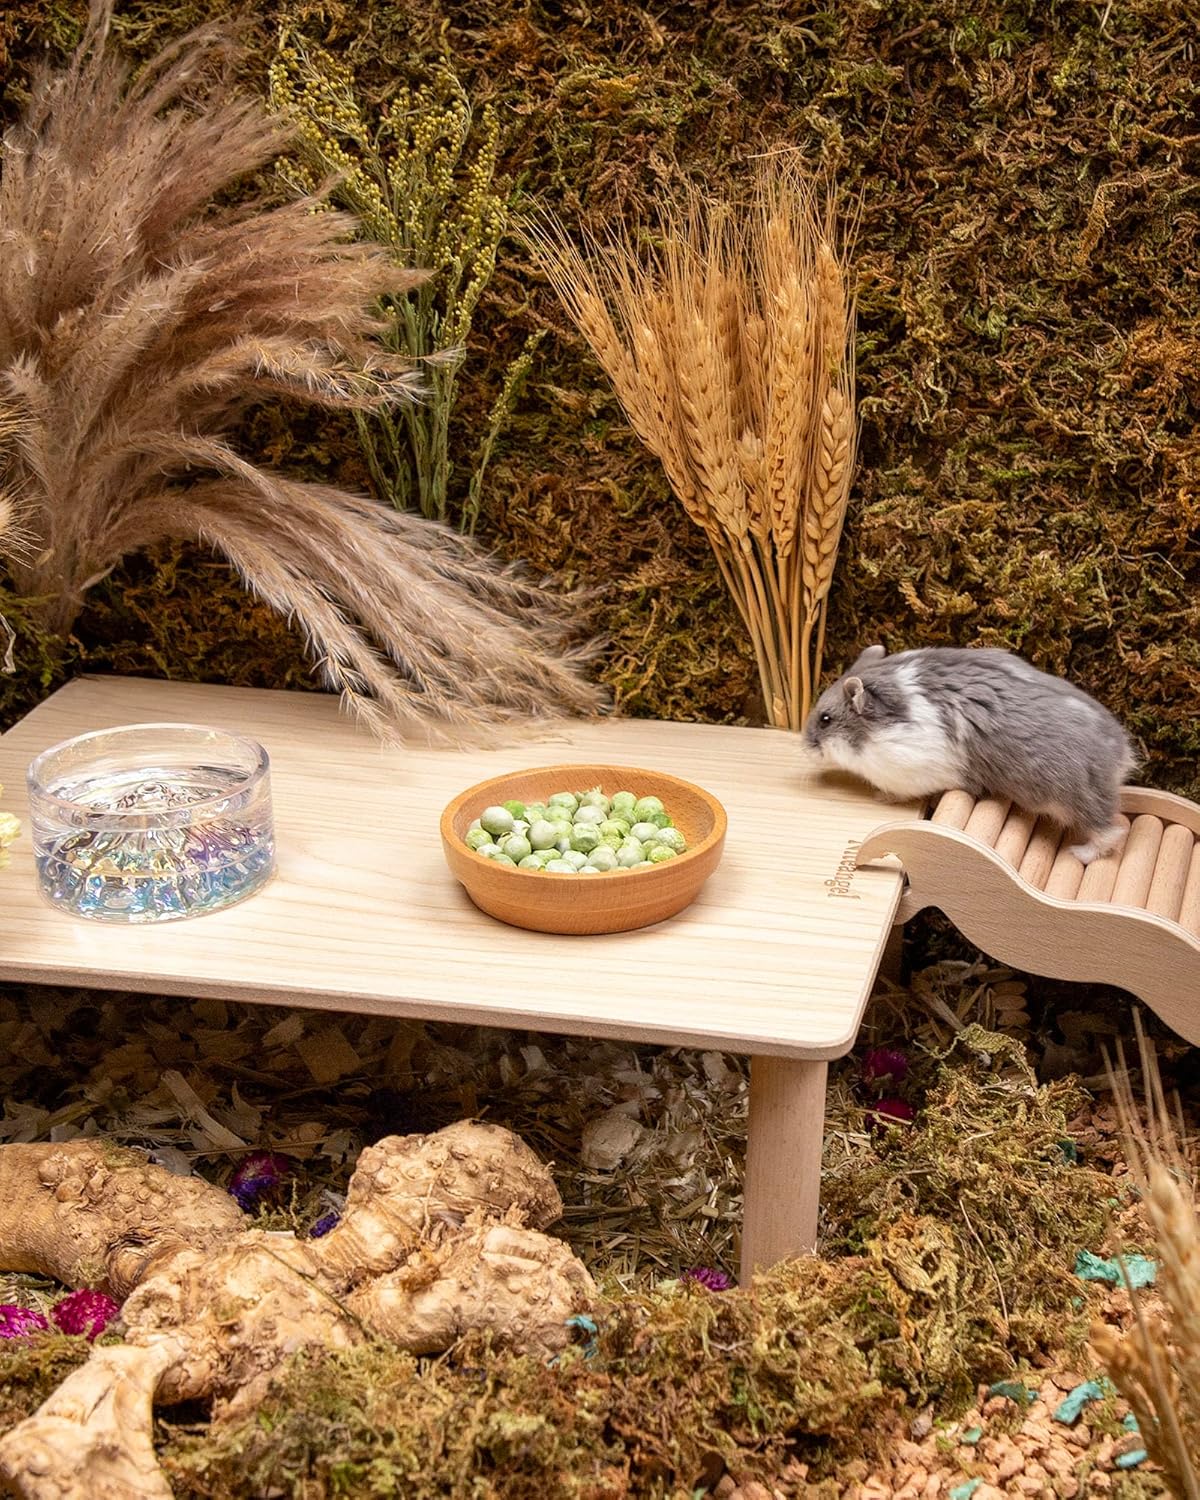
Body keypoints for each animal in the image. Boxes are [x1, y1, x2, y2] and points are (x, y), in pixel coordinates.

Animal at [803, 644, 1137, 864]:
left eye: (825, 719)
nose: (805, 746)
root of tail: (1121, 754)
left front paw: (881, 797)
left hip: (1074, 797)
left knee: (1112, 830)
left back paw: (1079, 853)